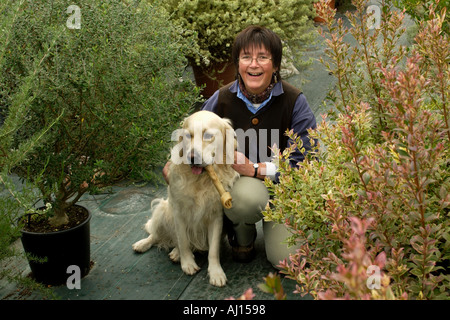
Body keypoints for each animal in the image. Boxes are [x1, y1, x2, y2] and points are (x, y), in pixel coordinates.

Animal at [132, 110, 239, 288]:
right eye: (188, 136)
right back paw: (144, 244)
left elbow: (213, 250)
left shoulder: (216, 216)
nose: (192, 157)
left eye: (208, 135)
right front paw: (187, 263)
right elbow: (182, 240)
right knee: (157, 235)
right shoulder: (178, 212)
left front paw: (216, 272)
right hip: (163, 210)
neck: (200, 181)